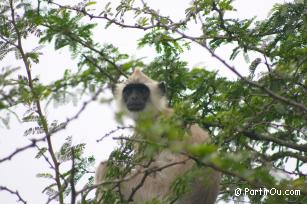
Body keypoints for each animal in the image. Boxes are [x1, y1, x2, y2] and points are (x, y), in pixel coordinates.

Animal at [95, 69, 221, 203]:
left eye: (142, 91)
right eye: (128, 91)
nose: (134, 97)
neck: (158, 114)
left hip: (152, 194)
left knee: (106, 167)